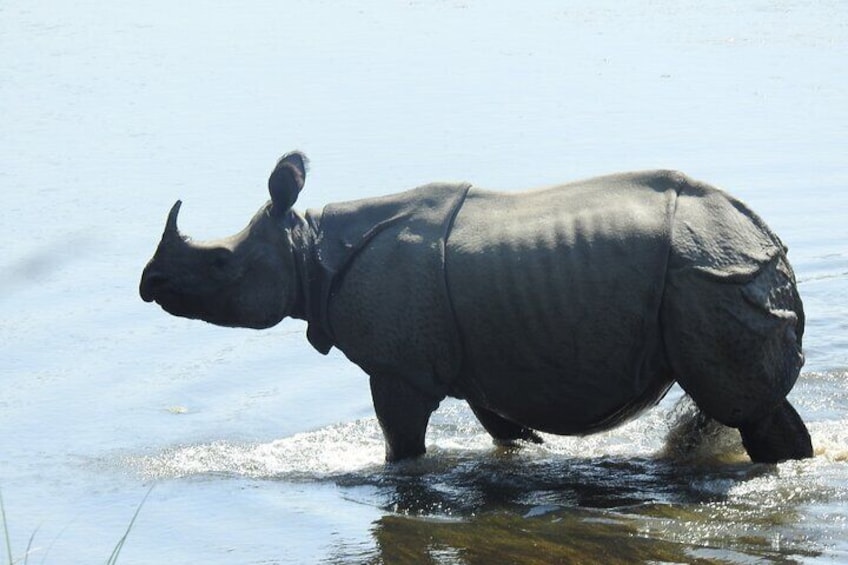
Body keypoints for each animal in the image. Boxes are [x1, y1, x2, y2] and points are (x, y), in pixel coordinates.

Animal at [141, 151, 816, 462]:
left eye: (219, 263)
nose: (149, 283)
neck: (308, 250)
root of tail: (762, 236)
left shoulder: (398, 370)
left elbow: (402, 447)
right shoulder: (485, 363)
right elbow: (509, 433)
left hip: (708, 275)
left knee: (748, 409)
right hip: (708, 274)